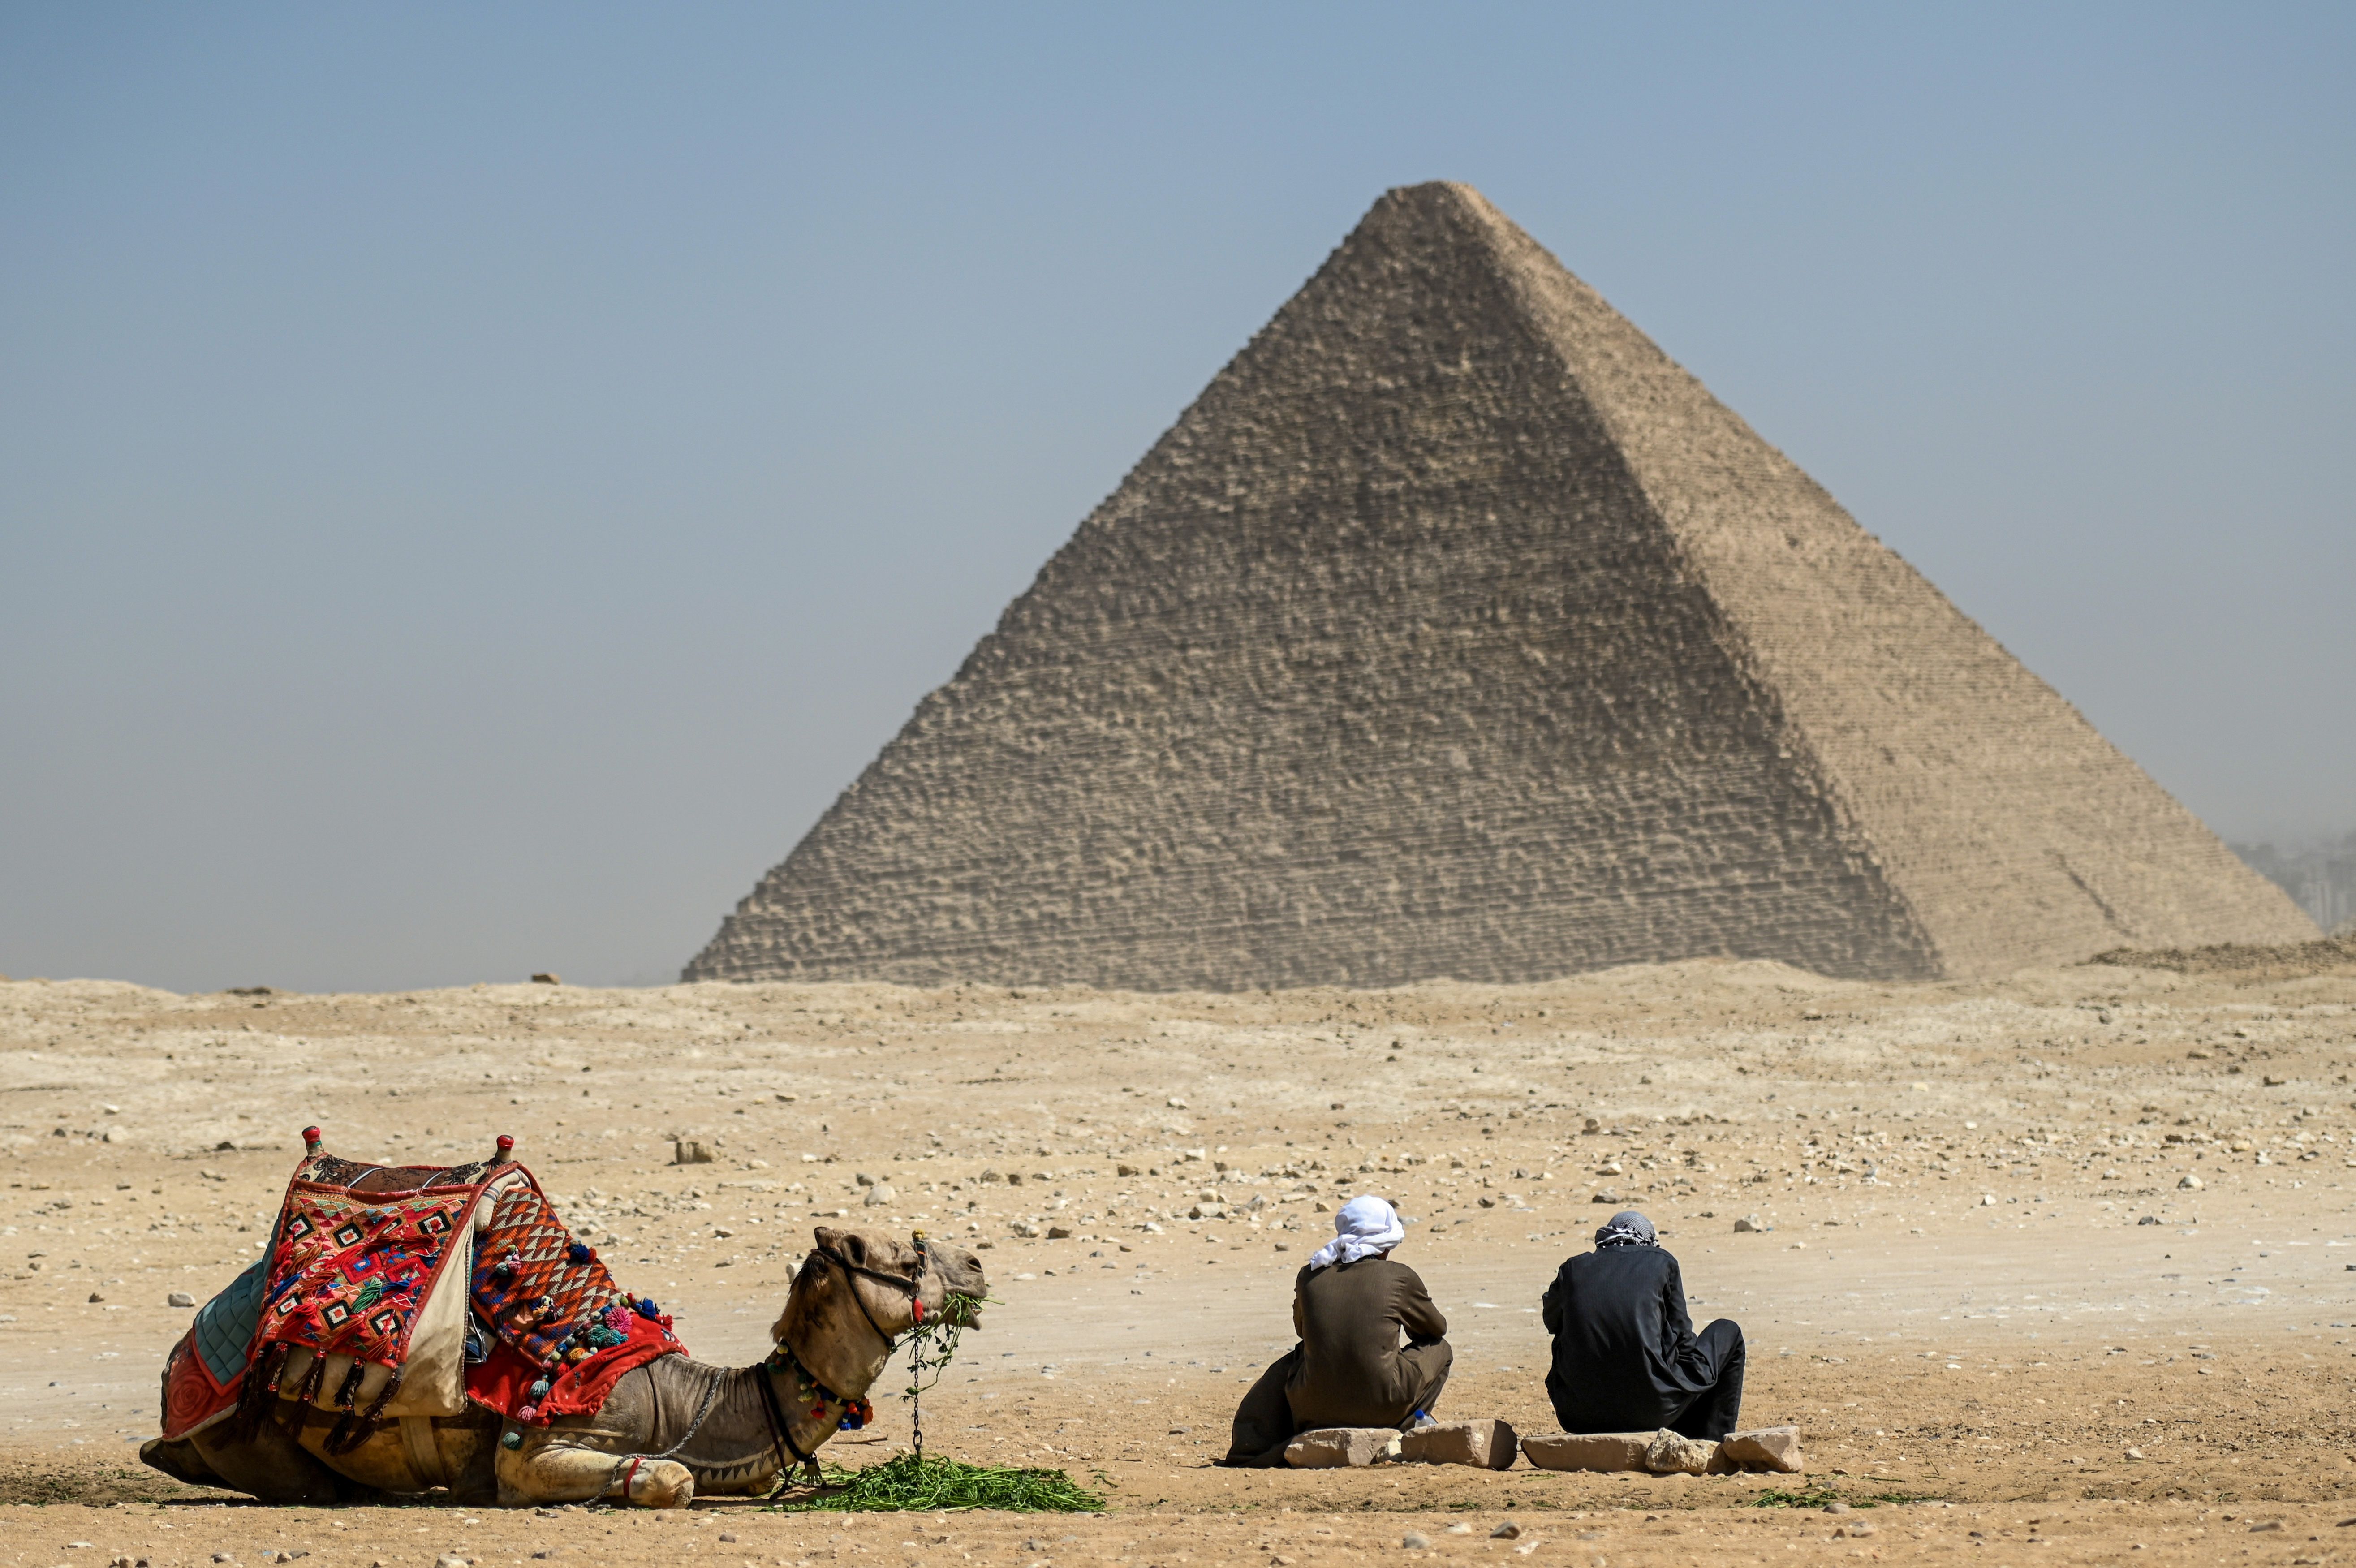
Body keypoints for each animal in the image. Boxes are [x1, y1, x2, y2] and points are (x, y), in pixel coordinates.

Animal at [138, 1224, 985, 1507]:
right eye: (900, 1255)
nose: (977, 1264)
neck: (690, 1401)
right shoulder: (539, 1444)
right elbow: (666, 1480)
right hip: (250, 1436)